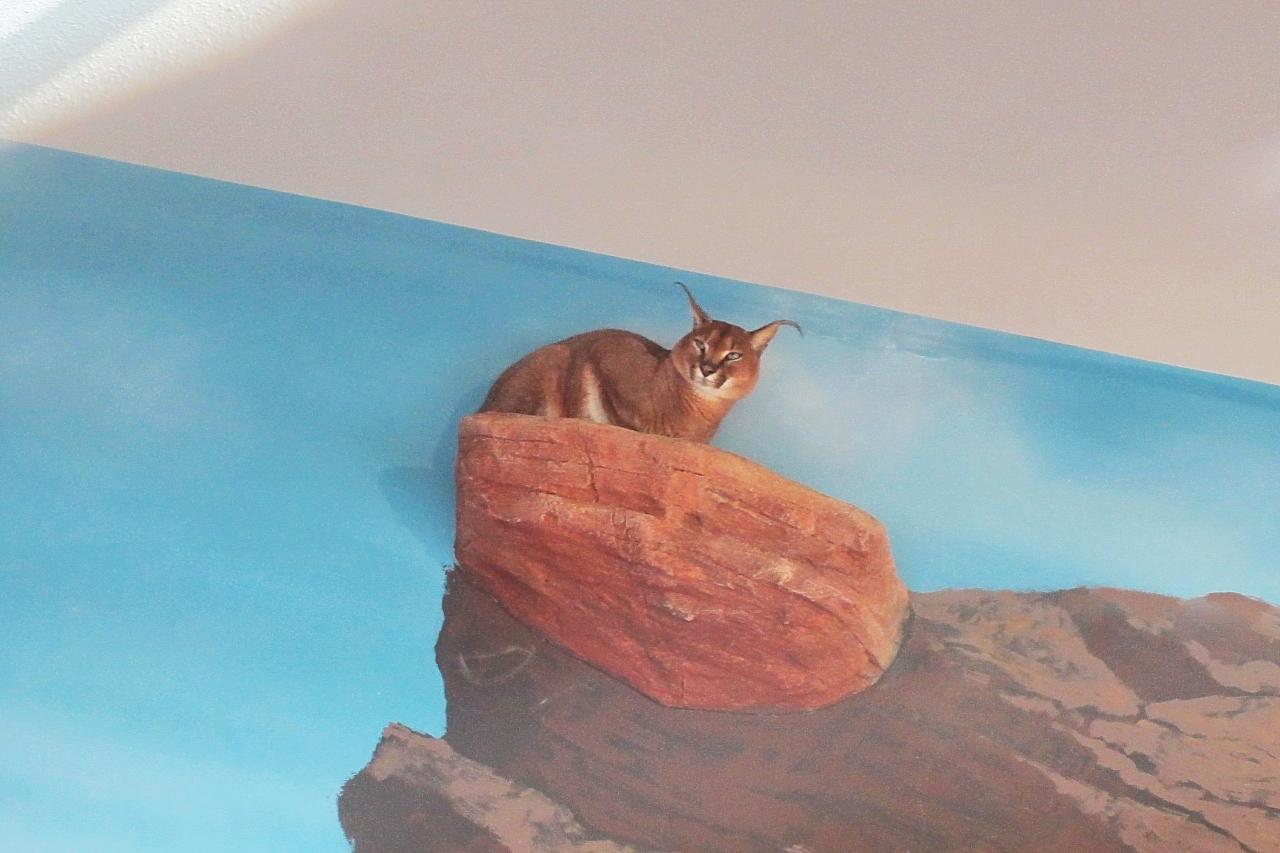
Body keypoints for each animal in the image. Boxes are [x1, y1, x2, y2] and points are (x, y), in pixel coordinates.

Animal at [479, 283, 799, 443]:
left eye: (734, 355)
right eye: (701, 344)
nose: (707, 369)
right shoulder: (605, 352)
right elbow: (611, 407)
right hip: (553, 356)